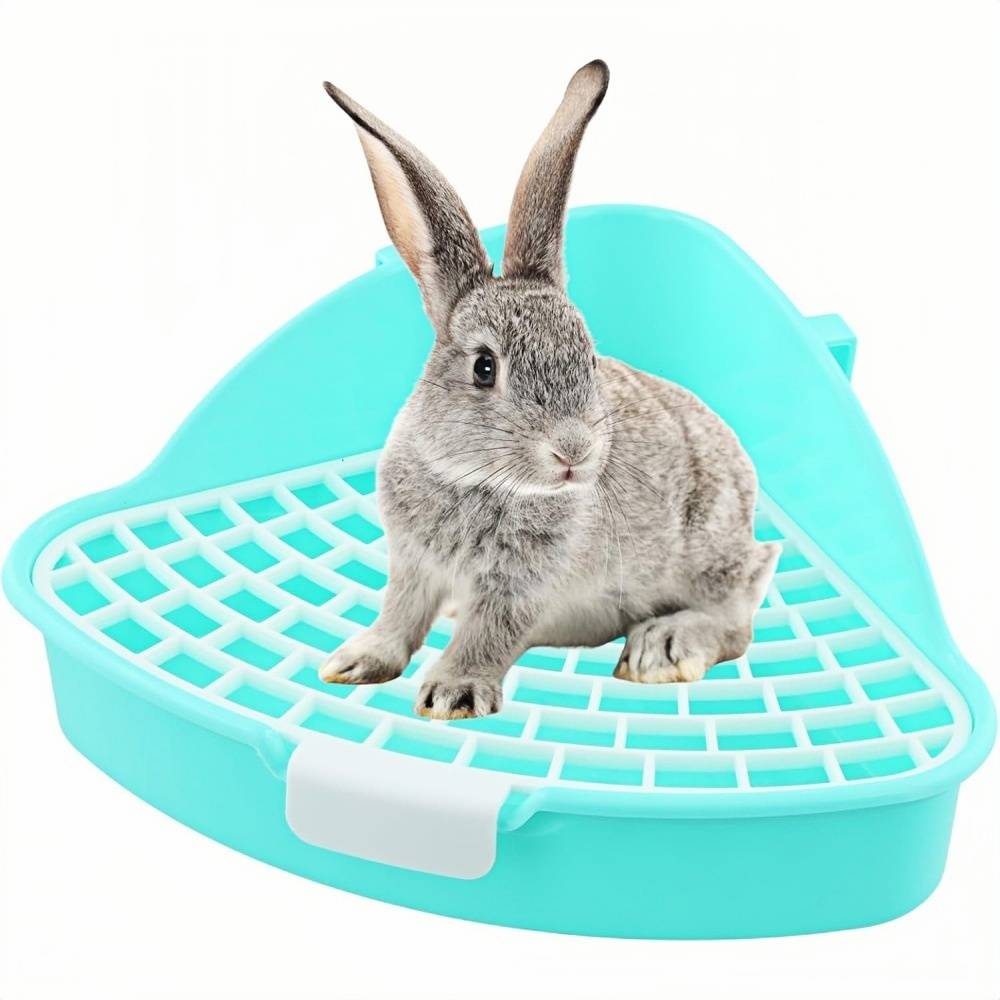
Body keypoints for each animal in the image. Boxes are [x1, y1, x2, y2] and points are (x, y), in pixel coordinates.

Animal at [318, 59, 779, 719]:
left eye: (587, 356)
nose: (574, 451)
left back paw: (661, 649)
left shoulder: (519, 589)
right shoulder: (412, 565)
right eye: (485, 367)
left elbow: (486, 634)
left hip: (708, 553)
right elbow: (399, 615)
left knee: (737, 617)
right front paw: (356, 662)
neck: (478, 479)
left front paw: (452, 692)